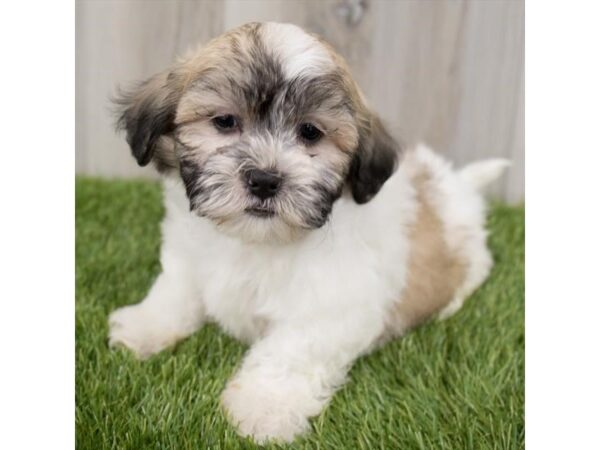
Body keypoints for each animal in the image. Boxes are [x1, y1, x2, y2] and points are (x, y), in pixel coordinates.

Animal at [106, 22, 506, 442]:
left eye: (310, 132)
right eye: (225, 122)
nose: (264, 179)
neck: (257, 239)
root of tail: (457, 185)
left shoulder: (330, 306)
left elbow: (291, 350)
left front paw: (263, 406)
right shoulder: (188, 255)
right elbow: (176, 291)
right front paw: (144, 327)